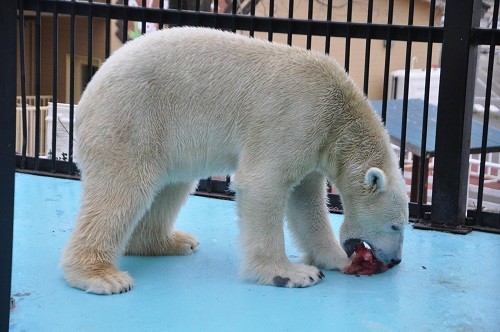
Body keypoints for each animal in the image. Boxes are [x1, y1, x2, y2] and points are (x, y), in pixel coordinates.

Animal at [60, 27, 408, 294]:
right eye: (395, 225)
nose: (395, 261)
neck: (339, 113)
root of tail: (91, 87)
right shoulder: (296, 117)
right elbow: (262, 184)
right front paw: (291, 274)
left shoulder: (315, 144)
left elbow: (307, 200)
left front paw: (335, 259)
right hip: (131, 118)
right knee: (122, 190)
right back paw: (102, 276)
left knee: (172, 185)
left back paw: (173, 241)